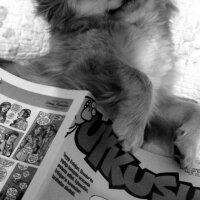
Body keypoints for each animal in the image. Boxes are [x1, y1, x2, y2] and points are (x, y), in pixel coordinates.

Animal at [2, 0, 200, 169]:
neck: (138, 23)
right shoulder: (85, 66)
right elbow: (142, 79)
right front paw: (131, 131)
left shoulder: (158, 101)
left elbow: (194, 107)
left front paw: (187, 146)